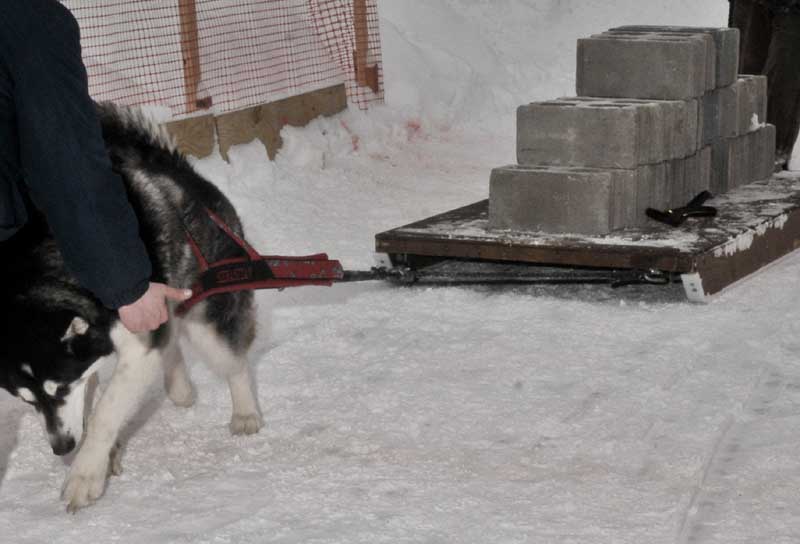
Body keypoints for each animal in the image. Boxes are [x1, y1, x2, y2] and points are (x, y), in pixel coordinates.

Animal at [0, 103, 264, 516]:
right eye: (25, 400)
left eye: (60, 389)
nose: (61, 447)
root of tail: (181, 173)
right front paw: (101, 456)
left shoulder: (134, 343)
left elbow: (105, 413)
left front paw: (84, 475)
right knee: (170, 340)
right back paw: (179, 385)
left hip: (208, 320)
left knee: (231, 359)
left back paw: (245, 412)